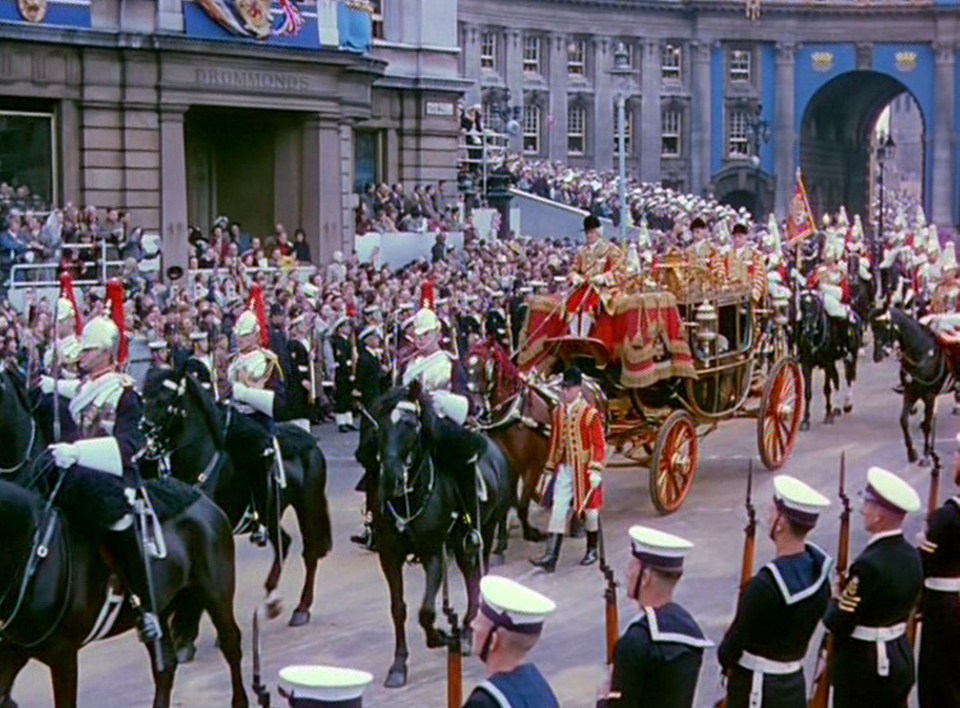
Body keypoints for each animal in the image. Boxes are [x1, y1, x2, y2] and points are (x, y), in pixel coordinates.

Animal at [0, 476, 251, 708]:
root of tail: (200, 497)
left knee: (230, 643)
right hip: (160, 608)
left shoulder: (63, 655)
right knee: (165, 667)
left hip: (215, 593)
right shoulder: (13, 650)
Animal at [139, 368, 334, 640]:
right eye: (144, 395)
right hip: (271, 514)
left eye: (165, 397)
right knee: (283, 543)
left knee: (310, 553)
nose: (144, 428)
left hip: (307, 505)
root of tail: (309, 440)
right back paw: (272, 600)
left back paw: (301, 608)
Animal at [368, 384, 512, 688]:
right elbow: (398, 608)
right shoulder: (389, 556)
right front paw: (398, 665)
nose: (392, 479)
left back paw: (467, 630)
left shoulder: (432, 553)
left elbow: (426, 611)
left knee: (478, 576)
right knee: (470, 575)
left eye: (410, 425)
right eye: (379, 427)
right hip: (458, 544)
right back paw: (465, 628)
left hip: (485, 531)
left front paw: (440, 637)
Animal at [796, 290, 864, 428]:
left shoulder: (827, 363)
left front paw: (827, 415)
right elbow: (807, 392)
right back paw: (836, 408)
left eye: (816, 306)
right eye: (802, 306)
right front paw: (805, 420)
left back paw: (847, 404)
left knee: (850, 378)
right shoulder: (806, 365)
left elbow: (826, 389)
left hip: (851, 356)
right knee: (837, 379)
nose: (807, 330)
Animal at [872, 306, 944, 464]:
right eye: (873, 328)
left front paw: (927, 454)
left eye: (885, 326)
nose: (877, 356)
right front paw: (912, 452)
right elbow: (903, 420)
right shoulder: (911, 391)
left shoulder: (929, 395)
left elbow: (928, 424)